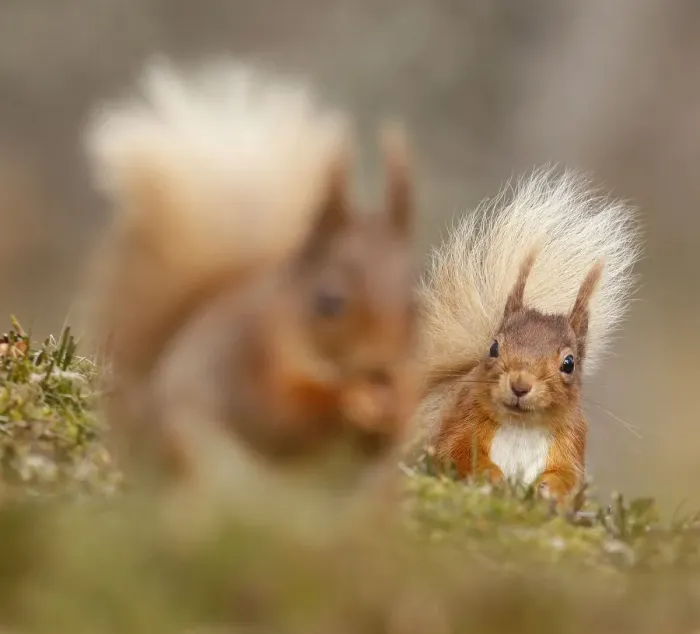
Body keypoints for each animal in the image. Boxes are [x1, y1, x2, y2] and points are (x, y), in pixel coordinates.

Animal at [81, 58, 420, 501]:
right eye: (328, 301)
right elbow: (279, 422)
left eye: (416, 305)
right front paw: (350, 403)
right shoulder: (244, 362)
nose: (381, 369)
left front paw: (392, 409)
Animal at [412, 169, 641, 501]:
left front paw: (551, 489)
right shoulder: (461, 421)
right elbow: (455, 452)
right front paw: (489, 475)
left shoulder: (571, 442)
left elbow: (570, 477)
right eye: (494, 347)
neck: (521, 426)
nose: (520, 385)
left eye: (569, 363)